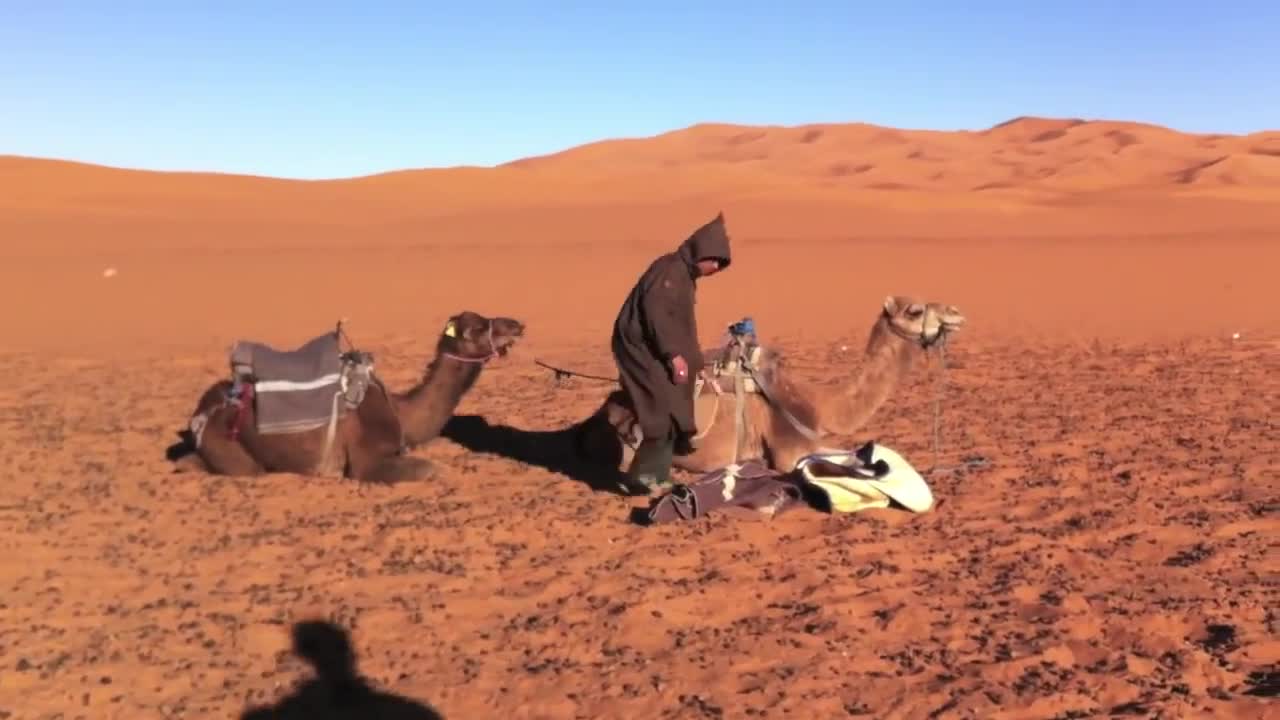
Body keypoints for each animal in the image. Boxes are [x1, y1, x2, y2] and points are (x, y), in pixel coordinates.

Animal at [166, 310, 524, 481]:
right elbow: (433, 470)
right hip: (232, 450)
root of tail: (201, 412)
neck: (401, 412)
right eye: (475, 329)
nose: (516, 325)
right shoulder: (367, 461)